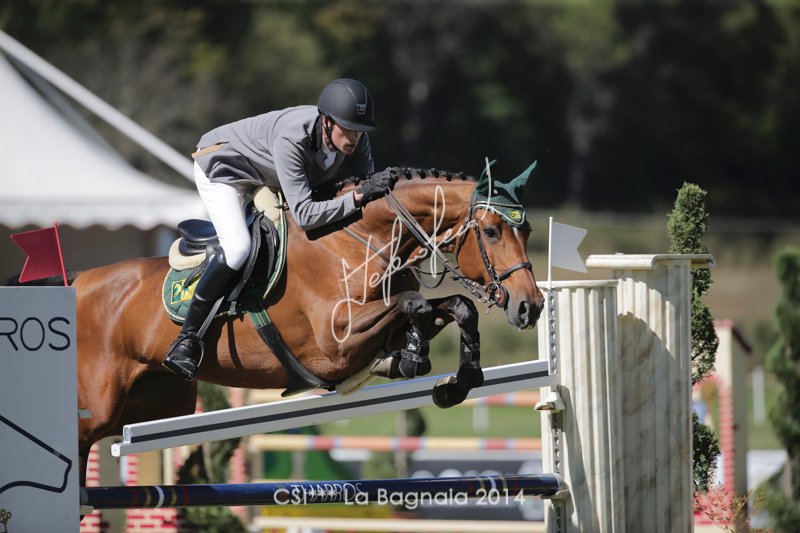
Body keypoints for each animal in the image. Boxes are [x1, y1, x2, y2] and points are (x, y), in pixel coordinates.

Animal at [9, 164, 544, 487]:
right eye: (491, 231)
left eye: (528, 230)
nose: (531, 307)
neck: (360, 238)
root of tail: (76, 281)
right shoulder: (333, 344)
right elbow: (416, 303)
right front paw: (419, 359)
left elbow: (454, 307)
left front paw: (449, 377)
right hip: (94, 409)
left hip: (152, 404)